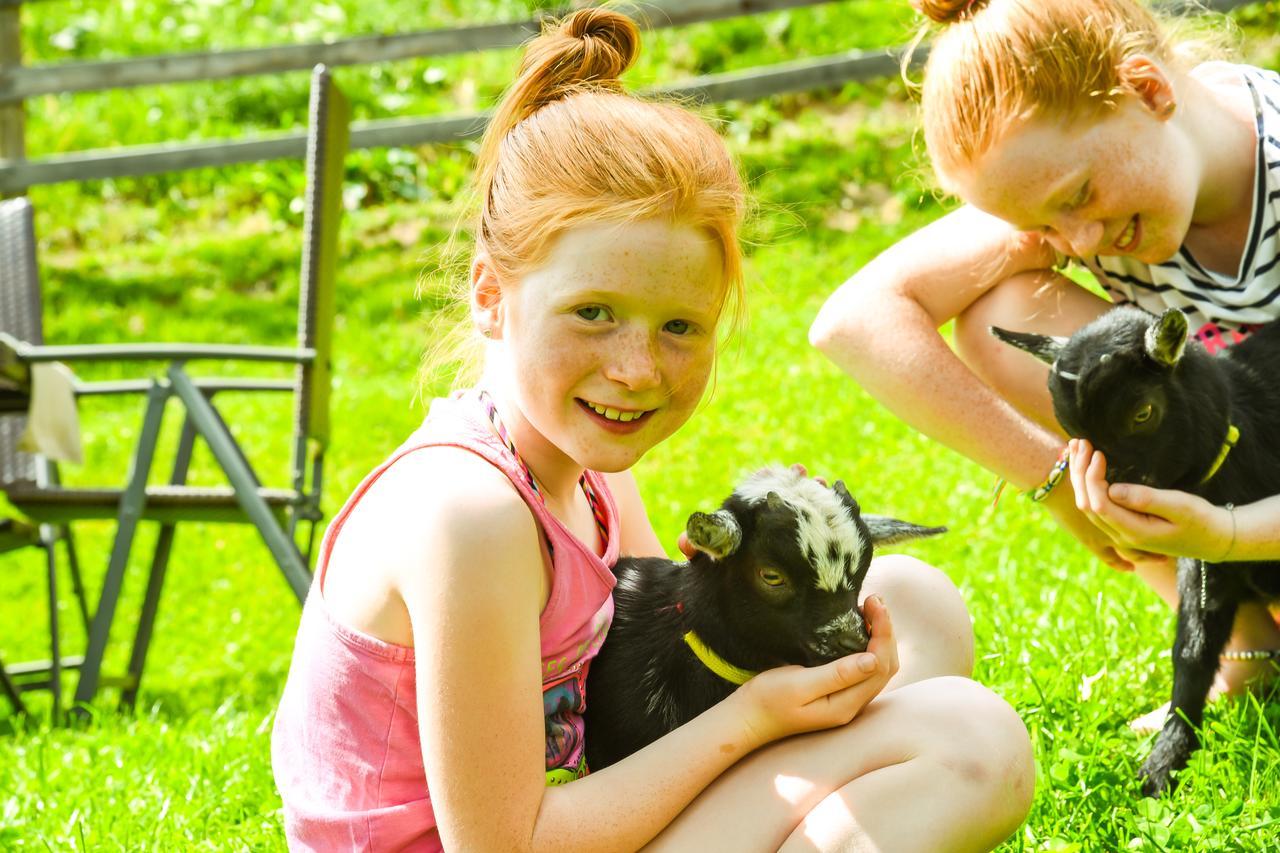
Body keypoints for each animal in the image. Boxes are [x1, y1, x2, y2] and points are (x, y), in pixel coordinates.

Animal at [993, 307, 1280, 799]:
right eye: (1072, 434)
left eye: (1143, 412)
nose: (1112, 494)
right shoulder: (1206, 566)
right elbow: (1191, 650)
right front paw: (1163, 764)